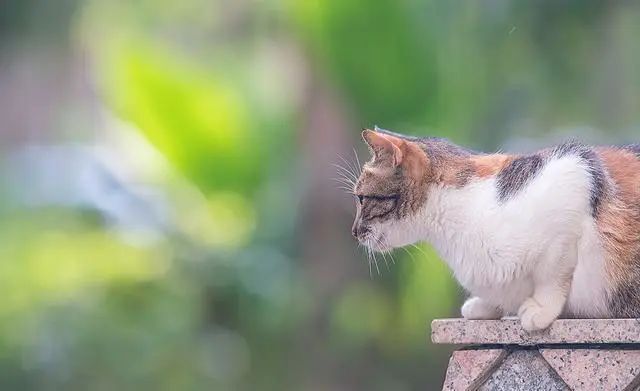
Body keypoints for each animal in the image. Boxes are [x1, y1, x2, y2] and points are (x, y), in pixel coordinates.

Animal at [350, 128, 640, 330]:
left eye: (361, 198)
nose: (353, 232)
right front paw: (485, 305)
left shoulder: (574, 174)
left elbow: (552, 273)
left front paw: (540, 308)